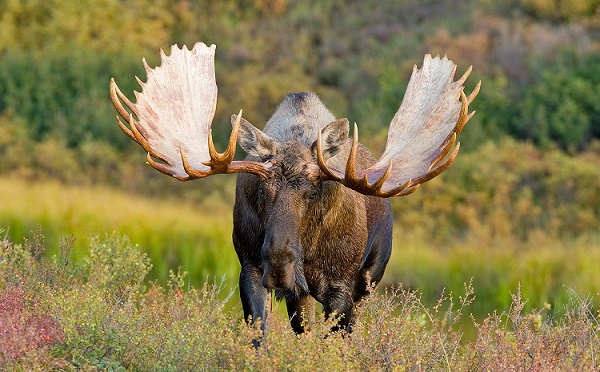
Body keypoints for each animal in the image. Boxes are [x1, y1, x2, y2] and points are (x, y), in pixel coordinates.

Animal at [110, 42, 480, 334]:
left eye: (314, 190)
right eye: (261, 188)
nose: (280, 264)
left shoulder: (341, 287)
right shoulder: (250, 269)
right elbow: (260, 337)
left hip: (369, 279)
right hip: (300, 294)